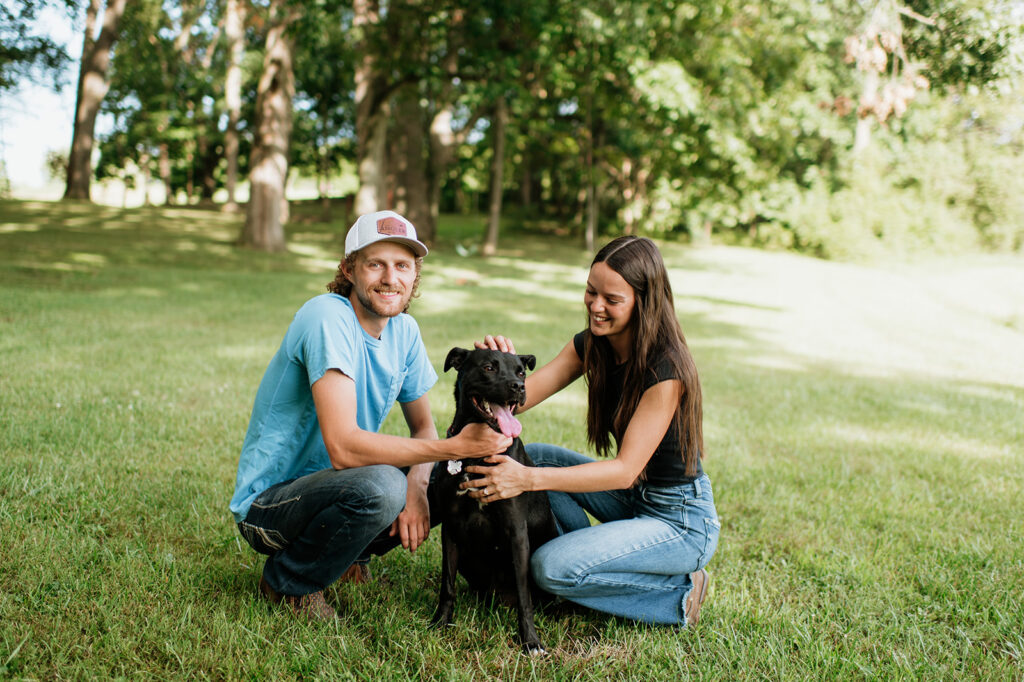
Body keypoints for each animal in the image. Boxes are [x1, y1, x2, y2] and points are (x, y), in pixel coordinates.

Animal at [432, 346, 561, 655]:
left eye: (521, 372)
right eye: (489, 367)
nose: (519, 387)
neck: (477, 454)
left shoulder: (517, 533)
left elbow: (525, 598)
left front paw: (530, 641)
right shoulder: (450, 529)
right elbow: (447, 584)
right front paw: (441, 621)